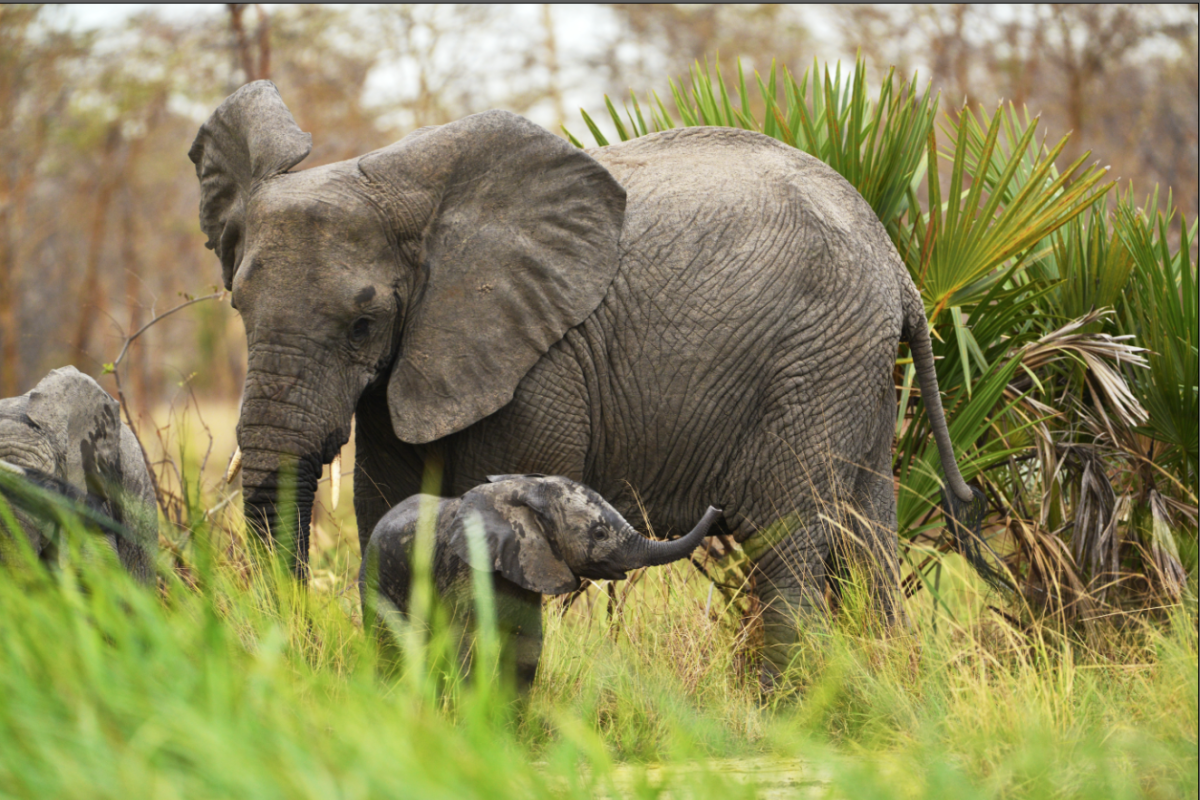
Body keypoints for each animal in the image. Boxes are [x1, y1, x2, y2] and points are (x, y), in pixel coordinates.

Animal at [360, 474, 722, 688]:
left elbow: (526, 647)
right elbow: (464, 642)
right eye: (599, 533)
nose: (717, 507)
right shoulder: (465, 568)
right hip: (376, 577)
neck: (522, 491)